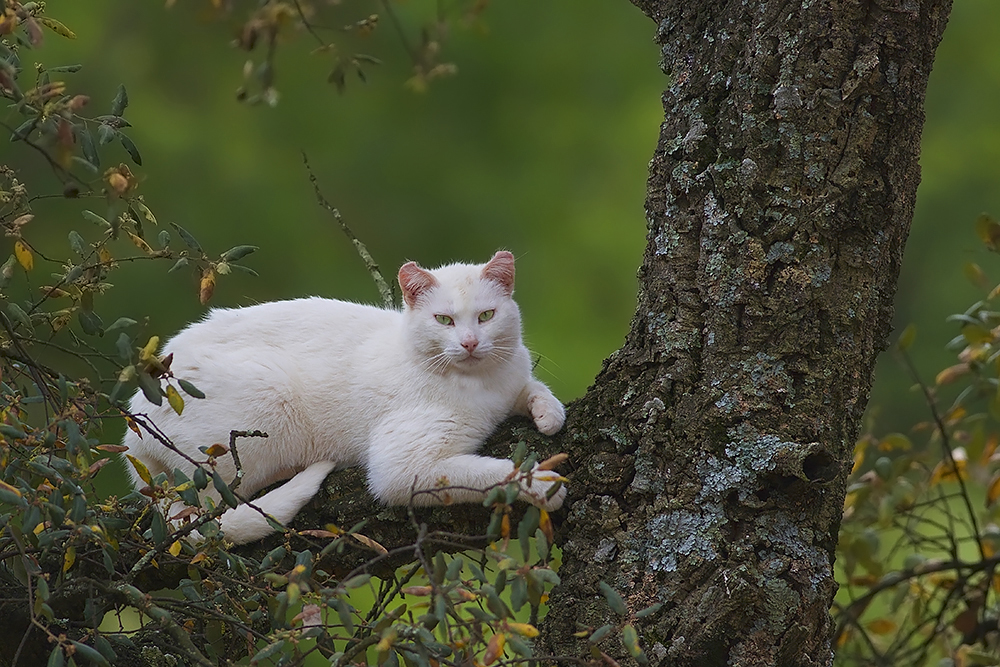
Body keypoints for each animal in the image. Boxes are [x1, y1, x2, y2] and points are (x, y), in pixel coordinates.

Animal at [121, 250, 568, 544]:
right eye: (444, 320)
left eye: (486, 316)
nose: (471, 343)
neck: (482, 383)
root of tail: (133, 428)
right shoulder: (401, 468)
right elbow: (483, 472)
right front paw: (541, 482)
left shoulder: (514, 377)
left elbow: (534, 388)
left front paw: (549, 414)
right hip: (261, 409)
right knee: (210, 518)